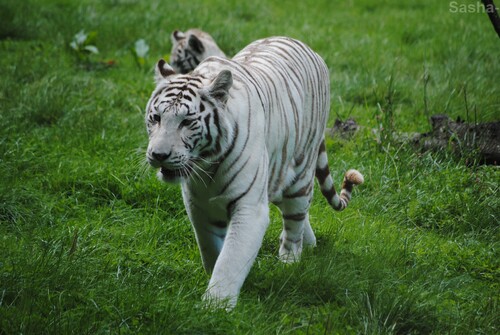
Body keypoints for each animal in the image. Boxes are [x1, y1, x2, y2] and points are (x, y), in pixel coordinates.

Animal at [145, 36, 364, 310]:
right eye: (156, 118)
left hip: (299, 174)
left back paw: (289, 261)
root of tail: (302, 43)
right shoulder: (199, 206)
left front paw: (215, 307)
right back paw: (311, 243)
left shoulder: (250, 207)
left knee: (294, 222)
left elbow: (231, 258)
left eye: (187, 122)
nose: (158, 155)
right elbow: (211, 248)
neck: (206, 165)